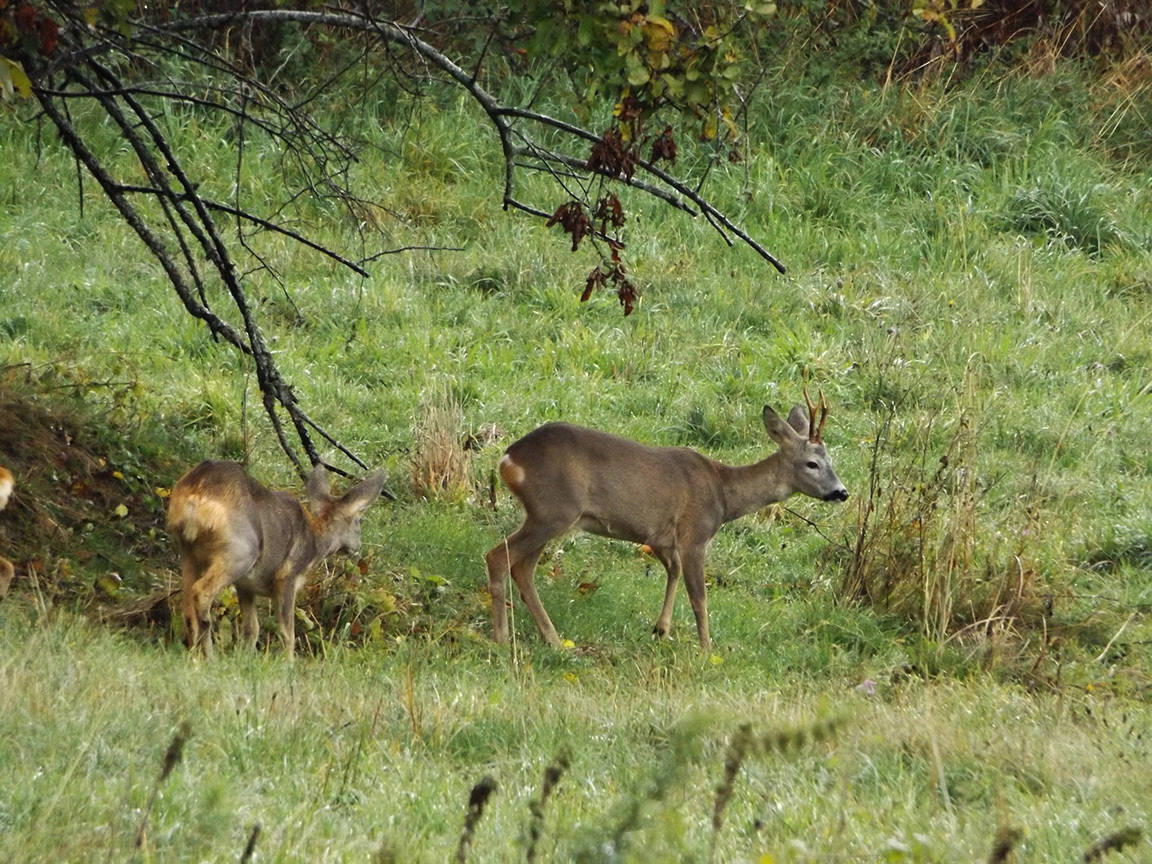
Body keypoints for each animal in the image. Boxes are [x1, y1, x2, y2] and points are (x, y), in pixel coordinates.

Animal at [168, 463, 391, 658]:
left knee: (187, 608)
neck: (314, 545)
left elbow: (252, 628)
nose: (358, 548)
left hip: (188, 550)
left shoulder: (246, 585)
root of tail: (196, 493)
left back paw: (195, 655)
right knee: (201, 592)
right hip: (240, 551)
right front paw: (288, 664)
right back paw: (209, 655)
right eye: (358, 521)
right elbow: (287, 632)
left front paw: (245, 658)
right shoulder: (287, 576)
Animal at [481, 389, 852, 654]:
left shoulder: (660, 537)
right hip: (553, 511)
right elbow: (699, 597)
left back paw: (553, 639)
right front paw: (706, 650)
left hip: (545, 516)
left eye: (831, 460)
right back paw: (502, 638)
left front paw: (662, 630)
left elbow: (671, 572)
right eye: (812, 464)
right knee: (498, 557)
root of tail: (507, 459)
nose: (841, 492)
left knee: (521, 568)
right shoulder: (695, 534)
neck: (723, 493)